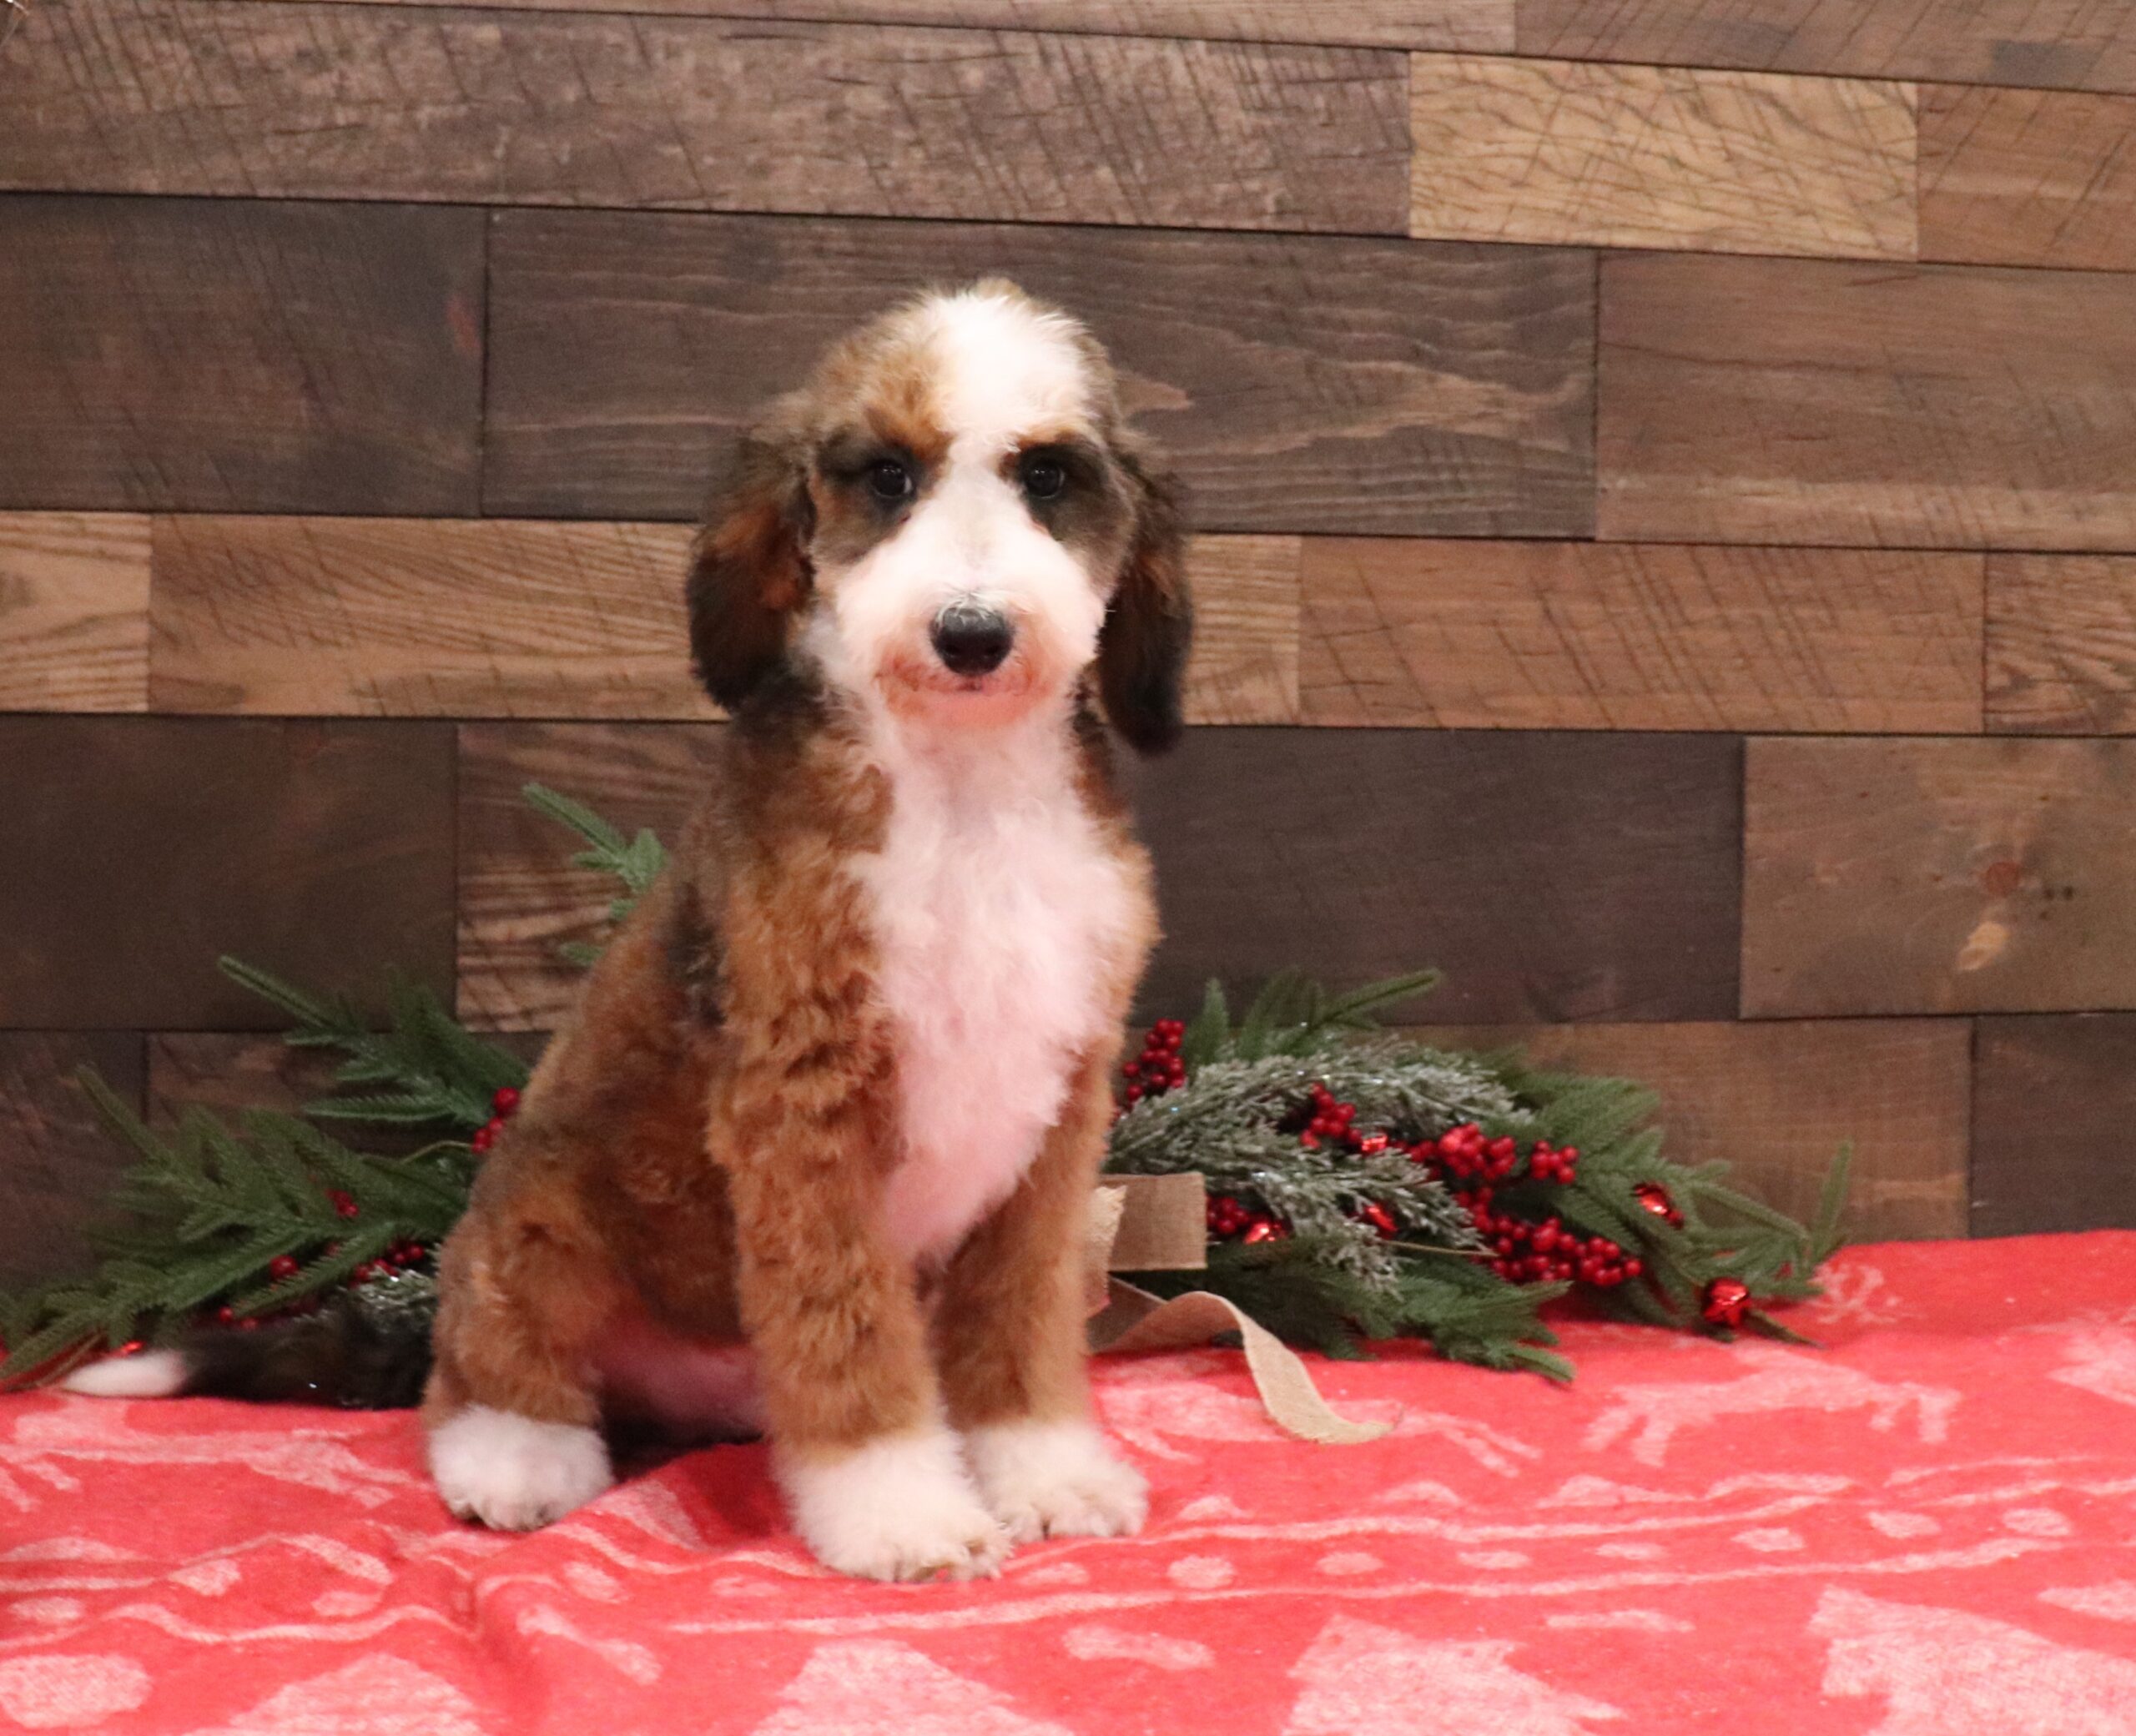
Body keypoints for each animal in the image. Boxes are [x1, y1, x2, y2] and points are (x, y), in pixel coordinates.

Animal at [68, 281, 1192, 1583]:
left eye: (1049, 476)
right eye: (887, 477)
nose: (970, 633)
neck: (962, 790)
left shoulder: (1054, 1116)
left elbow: (1016, 1319)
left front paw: (1042, 1469)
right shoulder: (806, 1110)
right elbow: (847, 1332)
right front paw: (897, 1508)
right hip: (533, 1219)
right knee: (478, 1373)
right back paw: (518, 1458)